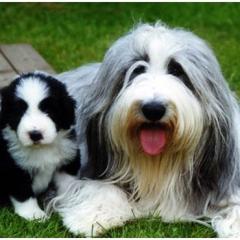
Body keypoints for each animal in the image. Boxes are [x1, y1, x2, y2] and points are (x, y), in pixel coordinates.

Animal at [0, 72, 80, 220]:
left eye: (48, 109)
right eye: (19, 112)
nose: (35, 134)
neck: (42, 148)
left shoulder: (67, 159)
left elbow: (67, 186)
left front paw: (69, 204)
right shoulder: (14, 168)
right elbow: (23, 192)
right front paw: (33, 214)